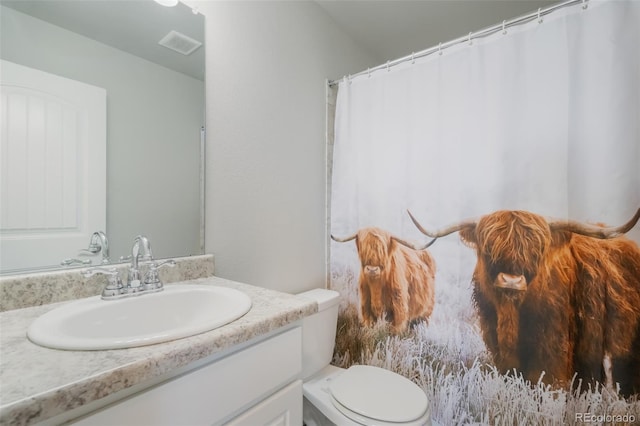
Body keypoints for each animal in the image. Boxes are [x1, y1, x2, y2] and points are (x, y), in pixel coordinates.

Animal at [408, 210, 640, 396]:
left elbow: (546, 381)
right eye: (489, 249)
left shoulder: (552, 345)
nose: (511, 281)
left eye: (535, 252)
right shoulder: (495, 339)